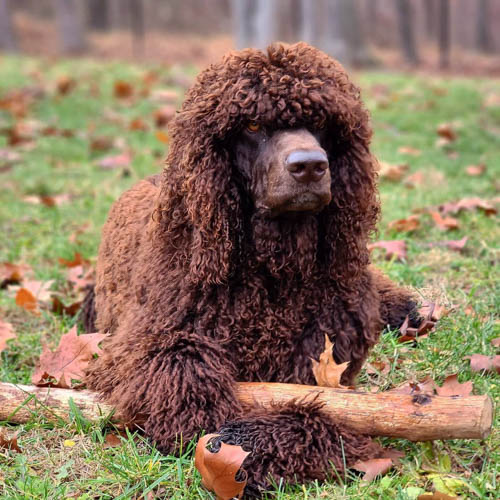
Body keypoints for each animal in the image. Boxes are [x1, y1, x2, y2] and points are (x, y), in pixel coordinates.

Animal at [84, 43, 420, 496]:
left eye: (320, 122)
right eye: (253, 124)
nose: (309, 165)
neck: (272, 274)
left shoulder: (327, 359)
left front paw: (258, 441)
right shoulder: (146, 346)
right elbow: (189, 381)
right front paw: (237, 442)